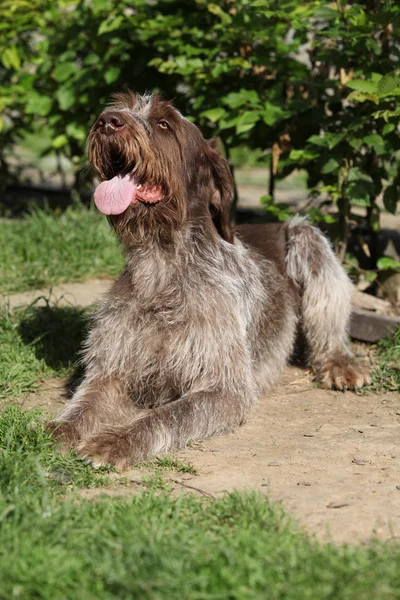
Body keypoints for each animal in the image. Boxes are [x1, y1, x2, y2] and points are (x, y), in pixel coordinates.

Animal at [47, 92, 372, 468]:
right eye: (120, 107)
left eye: (164, 124)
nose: (107, 121)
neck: (161, 264)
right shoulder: (110, 371)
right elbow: (83, 405)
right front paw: (53, 433)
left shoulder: (223, 390)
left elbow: (164, 416)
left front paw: (116, 440)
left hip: (305, 235)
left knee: (328, 323)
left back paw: (340, 364)